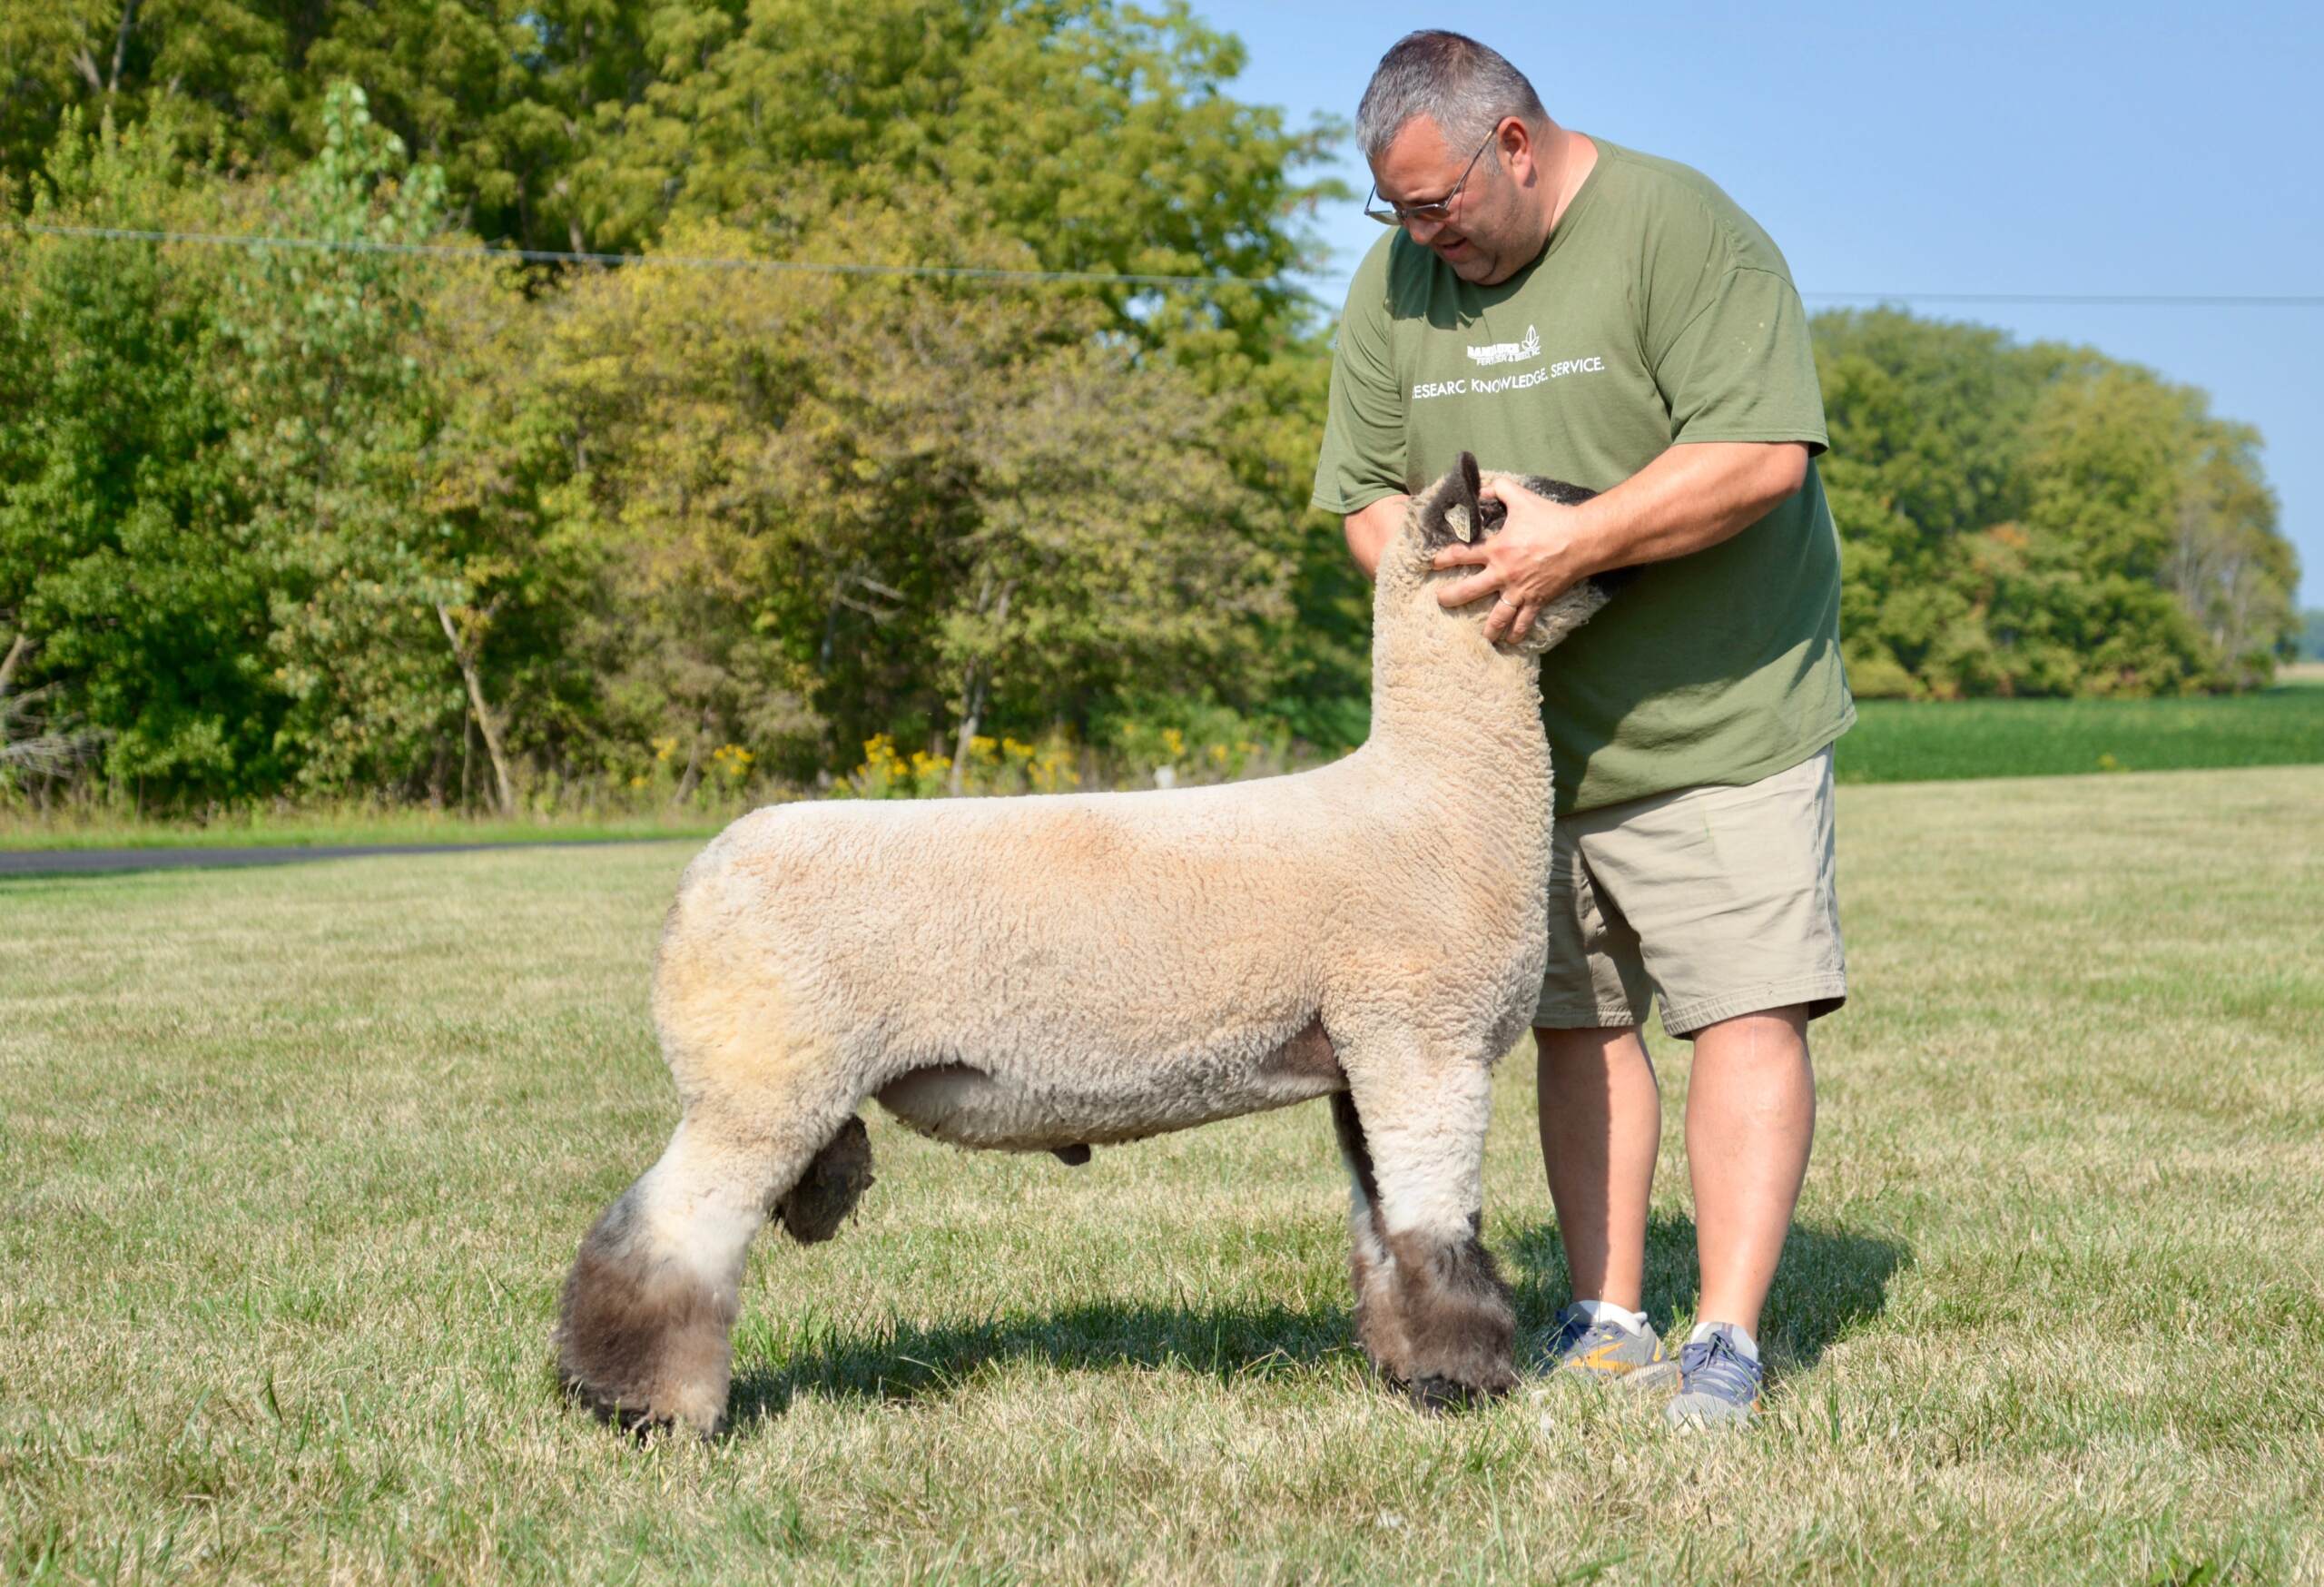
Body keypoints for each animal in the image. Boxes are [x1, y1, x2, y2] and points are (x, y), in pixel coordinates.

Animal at [555, 452, 1621, 1435]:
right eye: (1514, 505)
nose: (1613, 530)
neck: (1434, 792)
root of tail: (703, 876)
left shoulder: (1363, 1058)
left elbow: (1383, 1232)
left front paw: (1407, 1371)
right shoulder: (1422, 1039)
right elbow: (1437, 1230)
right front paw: (1465, 1382)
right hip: (766, 1081)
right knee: (670, 1235)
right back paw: (645, 1408)